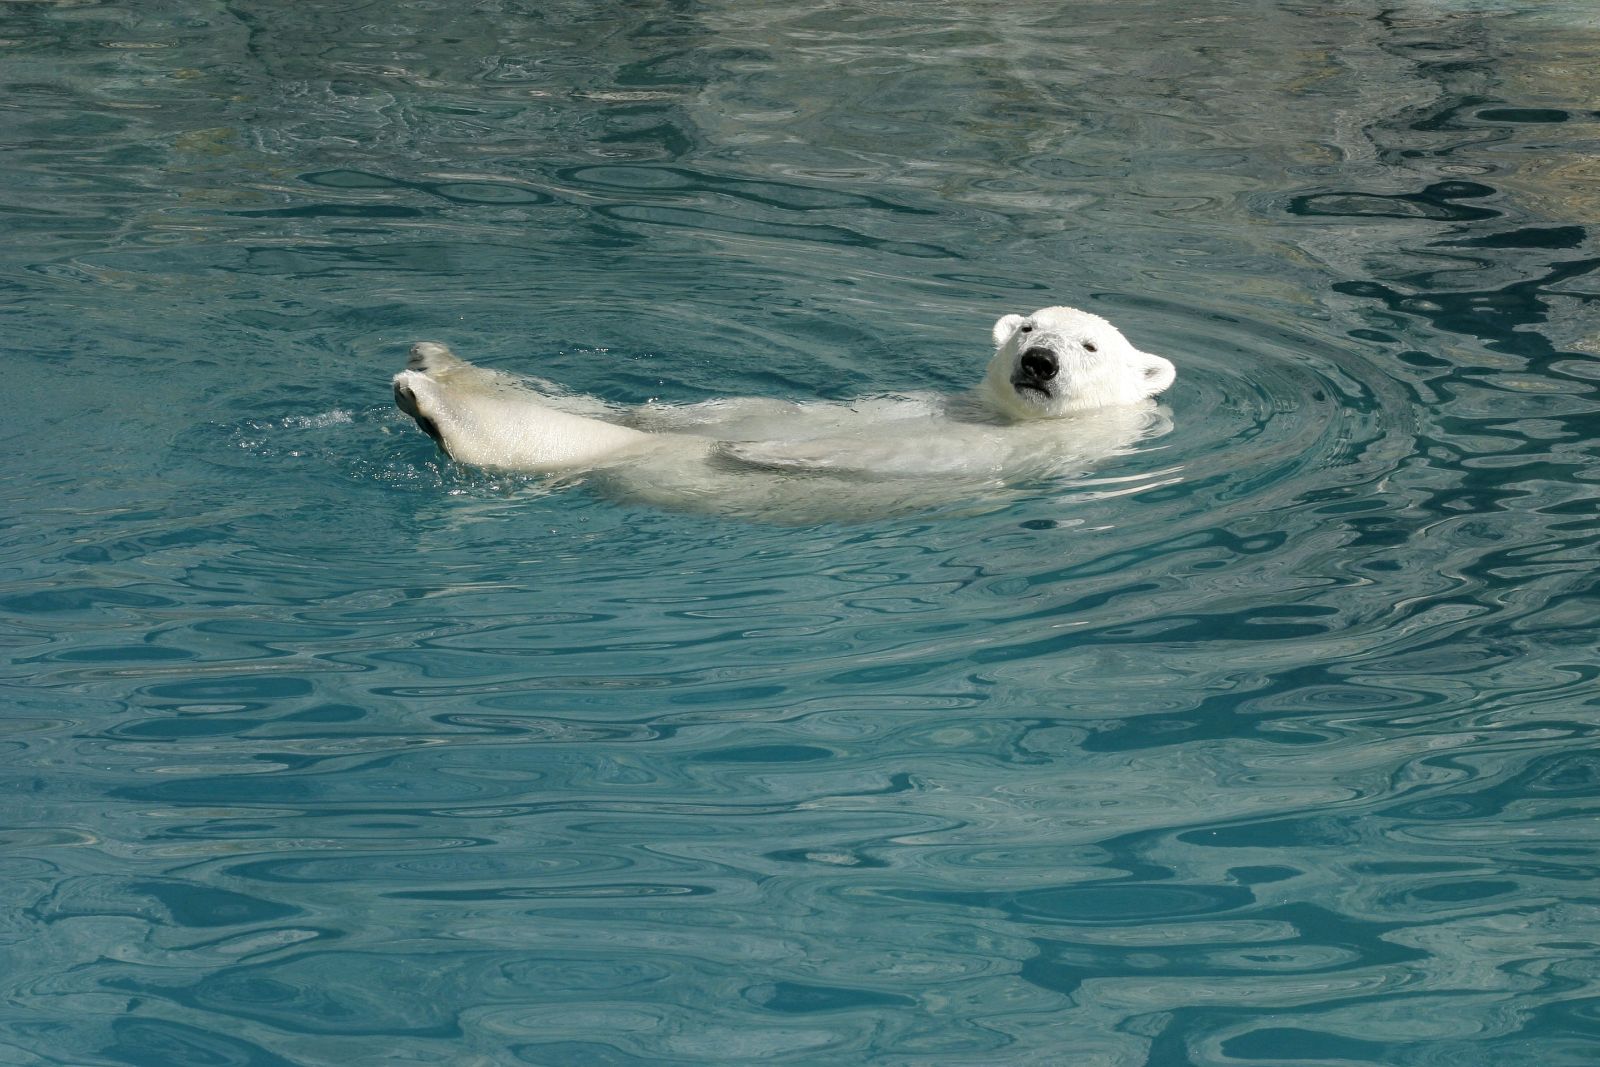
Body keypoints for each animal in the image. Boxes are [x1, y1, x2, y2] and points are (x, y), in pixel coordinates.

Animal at [391, 306, 1176, 518]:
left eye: (1089, 344)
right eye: (1026, 327)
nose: (1039, 361)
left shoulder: (1031, 452)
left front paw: (766, 453)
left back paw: (433, 402)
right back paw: (436, 364)